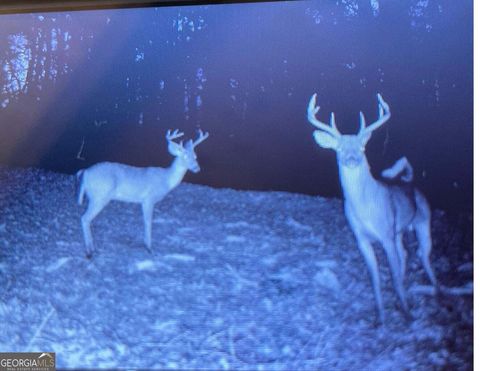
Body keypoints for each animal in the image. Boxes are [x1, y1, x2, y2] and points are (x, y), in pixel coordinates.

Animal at [77, 129, 208, 258]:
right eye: (184, 155)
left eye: (195, 156)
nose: (197, 168)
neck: (166, 180)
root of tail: (85, 174)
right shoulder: (148, 199)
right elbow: (148, 222)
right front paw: (149, 248)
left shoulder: (143, 201)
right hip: (100, 196)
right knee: (85, 218)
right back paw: (89, 251)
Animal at [308, 93, 438, 326]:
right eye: (339, 149)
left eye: (362, 148)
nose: (352, 159)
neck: (365, 209)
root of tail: (410, 182)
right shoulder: (361, 238)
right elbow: (375, 278)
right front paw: (381, 317)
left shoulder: (386, 234)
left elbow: (393, 275)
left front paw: (407, 314)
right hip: (399, 231)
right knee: (406, 253)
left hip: (423, 222)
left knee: (423, 256)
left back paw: (437, 291)